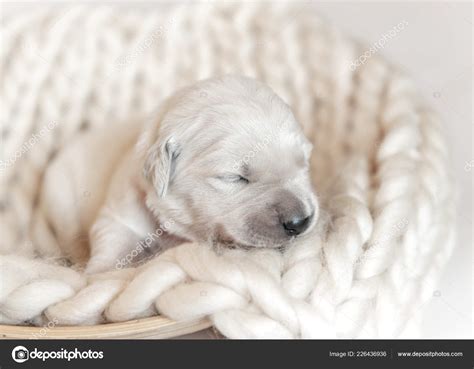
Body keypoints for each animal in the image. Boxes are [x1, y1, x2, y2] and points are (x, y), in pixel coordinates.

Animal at [39, 75, 318, 272]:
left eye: (304, 164)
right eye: (235, 177)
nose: (299, 222)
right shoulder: (118, 215)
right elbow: (111, 246)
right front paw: (101, 271)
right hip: (62, 202)